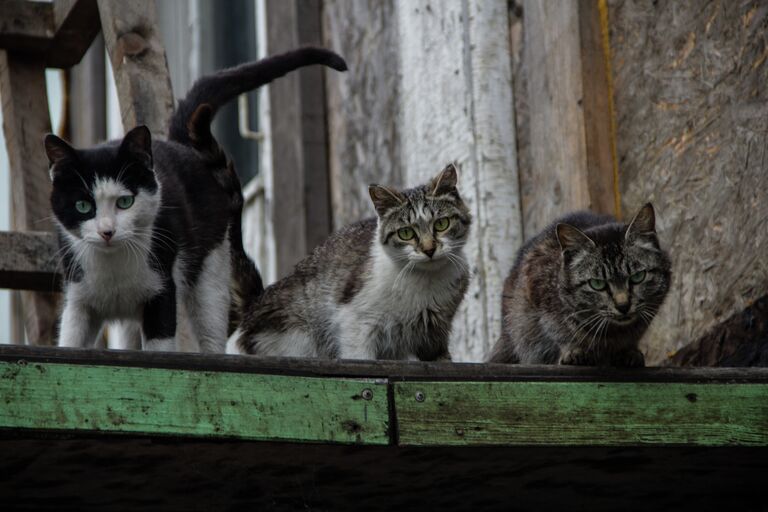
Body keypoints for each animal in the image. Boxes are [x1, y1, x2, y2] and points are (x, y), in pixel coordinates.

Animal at [46, 48, 346, 352]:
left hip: (210, 271)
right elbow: (70, 341)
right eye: (83, 206)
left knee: (211, 328)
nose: (107, 232)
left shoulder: (162, 292)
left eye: (125, 202)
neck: (113, 267)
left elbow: (160, 346)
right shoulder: (78, 299)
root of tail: (180, 145)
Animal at [225, 164, 472, 360]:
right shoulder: (356, 323)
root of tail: (256, 301)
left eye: (441, 224)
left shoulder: (434, 332)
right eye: (406, 233)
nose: (429, 249)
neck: (426, 281)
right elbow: (362, 356)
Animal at [488, 204, 668, 368]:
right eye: (597, 284)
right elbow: (557, 331)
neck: (613, 333)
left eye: (638, 277)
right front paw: (573, 350)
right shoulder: (538, 295)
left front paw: (629, 352)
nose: (623, 306)